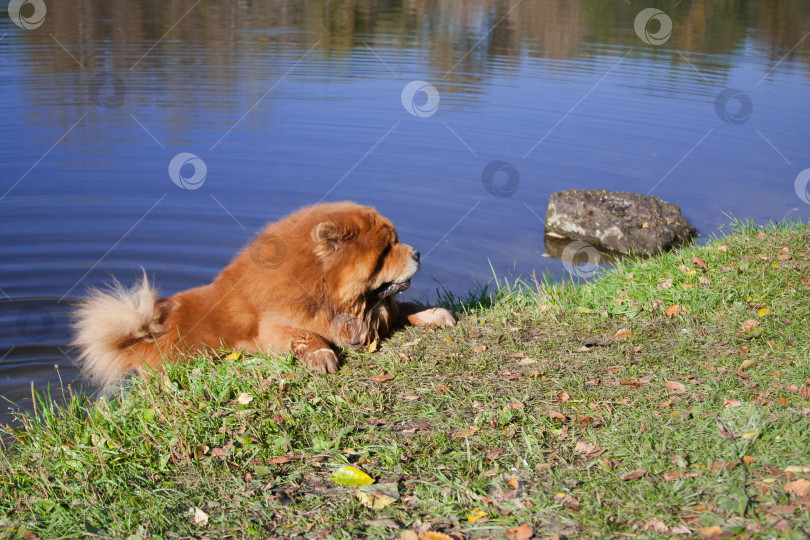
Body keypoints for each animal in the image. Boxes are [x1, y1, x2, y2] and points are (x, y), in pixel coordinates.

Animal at [72, 200, 454, 386]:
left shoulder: (378, 312)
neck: (322, 290)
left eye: (395, 241)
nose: (418, 253)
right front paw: (322, 356)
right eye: (387, 249)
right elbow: (307, 336)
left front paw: (435, 314)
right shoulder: (271, 329)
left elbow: (405, 307)